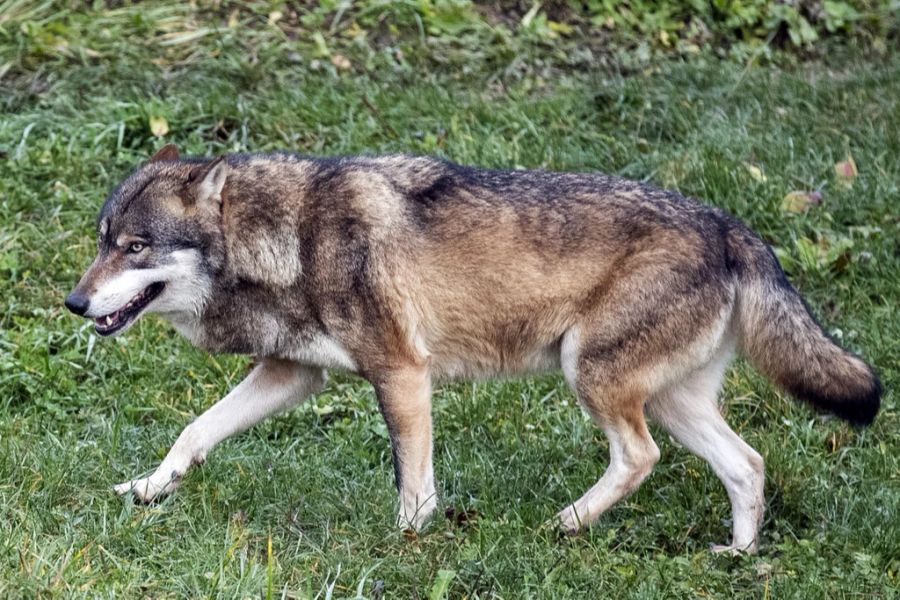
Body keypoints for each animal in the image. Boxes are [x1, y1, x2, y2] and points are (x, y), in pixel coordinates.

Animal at [65, 144, 880, 552]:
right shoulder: (293, 376)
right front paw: (147, 489)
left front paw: (407, 543)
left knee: (642, 457)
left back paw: (565, 526)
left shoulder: (402, 372)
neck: (289, 237)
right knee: (748, 464)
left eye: (135, 247)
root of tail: (731, 225)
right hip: (670, 399)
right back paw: (738, 557)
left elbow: (414, 481)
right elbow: (194, 432)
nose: (73, 303)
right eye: (102, 243)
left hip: (592, 378)